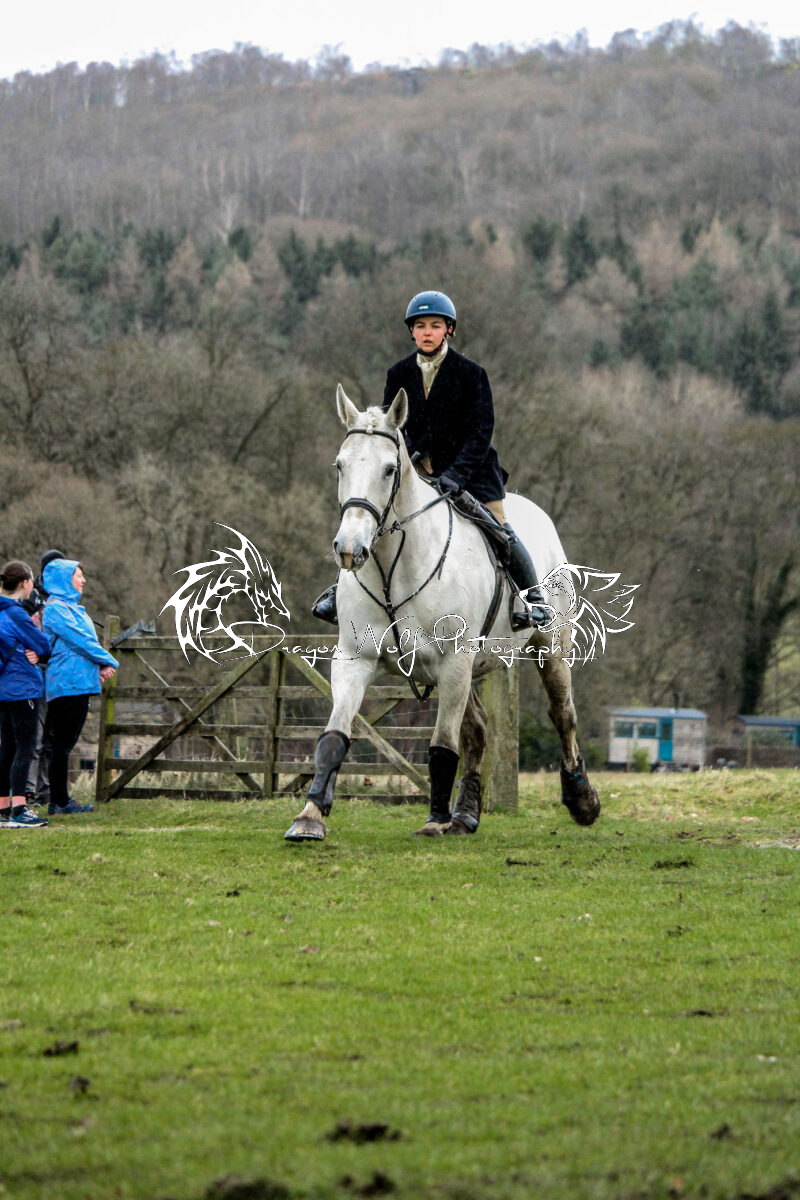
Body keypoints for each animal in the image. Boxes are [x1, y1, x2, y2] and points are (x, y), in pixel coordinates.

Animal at [284, 385, 600, 841]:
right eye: (339, 465)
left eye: (389, 470)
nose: (349, 548)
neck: (393, 568)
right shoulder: (355, 659)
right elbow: (334, 736)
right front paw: (309, 817)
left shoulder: (454, 663)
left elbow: (442, 745)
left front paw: (434, 819)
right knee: (478, 728)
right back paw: (465, 814)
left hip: (547, 649)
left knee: (563, 716)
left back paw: (581, 800)